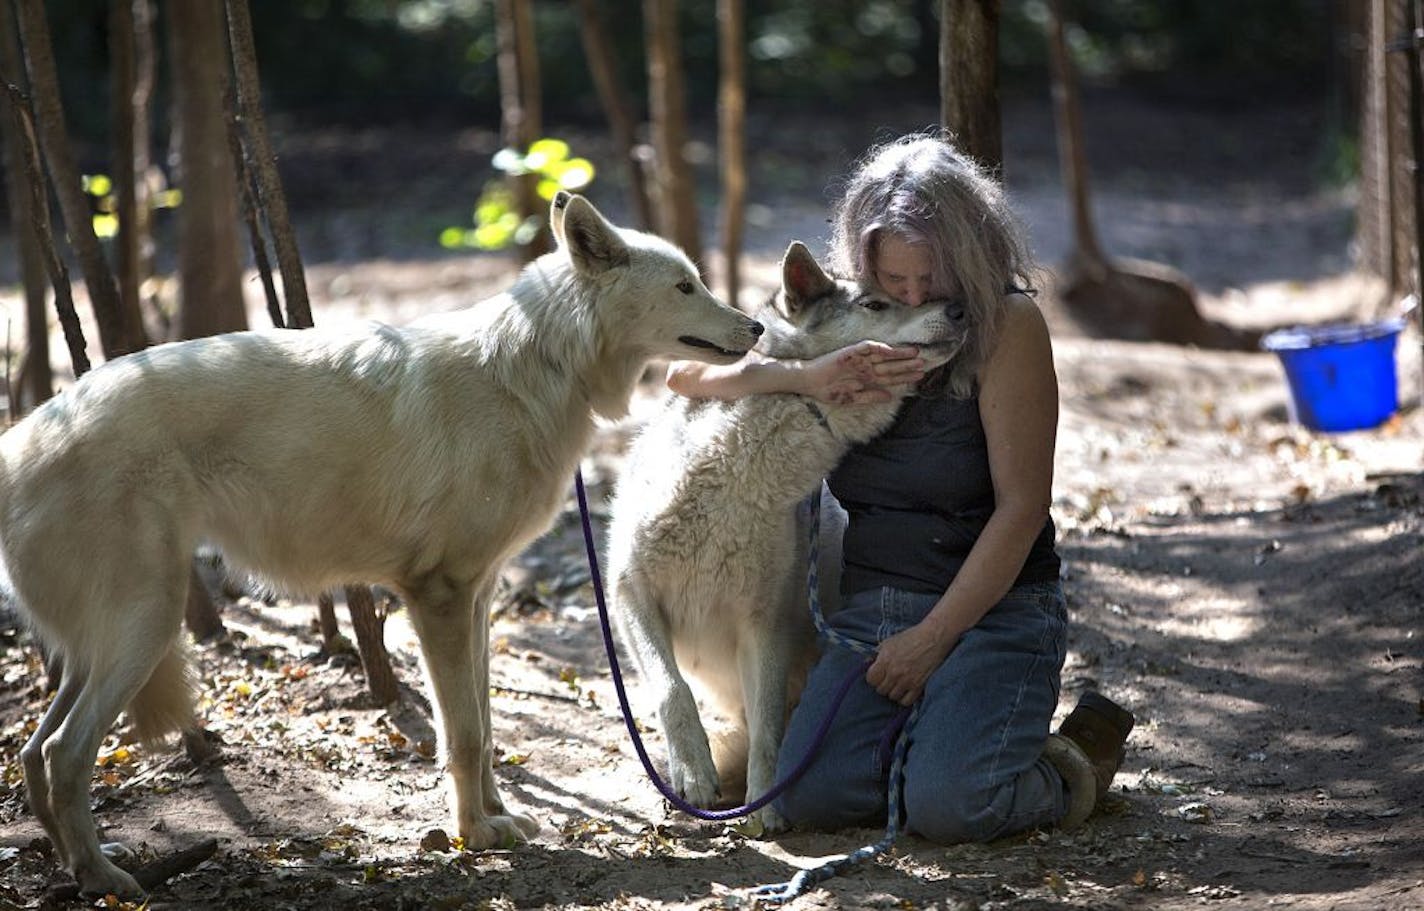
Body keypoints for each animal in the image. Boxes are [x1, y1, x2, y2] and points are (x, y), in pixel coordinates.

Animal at [0, 192, 763, 899]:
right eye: (686, 286)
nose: (757, 326)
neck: (538, 367)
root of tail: (21, 438)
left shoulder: (477, 598)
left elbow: (485, 727)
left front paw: (500, 818)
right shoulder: (439, 598)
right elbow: (464, 735)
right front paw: (475, 835)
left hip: (107, 644)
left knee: (35, 752)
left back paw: (79, 867)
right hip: (147, 627)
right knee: (64, 754)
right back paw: (106, 879)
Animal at [600, 241, 968, 831]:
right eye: (876, 303)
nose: (959, 309)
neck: (733, 481)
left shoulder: (766, 625)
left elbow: (770, 723)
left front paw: (765, 805)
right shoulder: (631, 596)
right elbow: (672, 692)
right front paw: (694, 777)